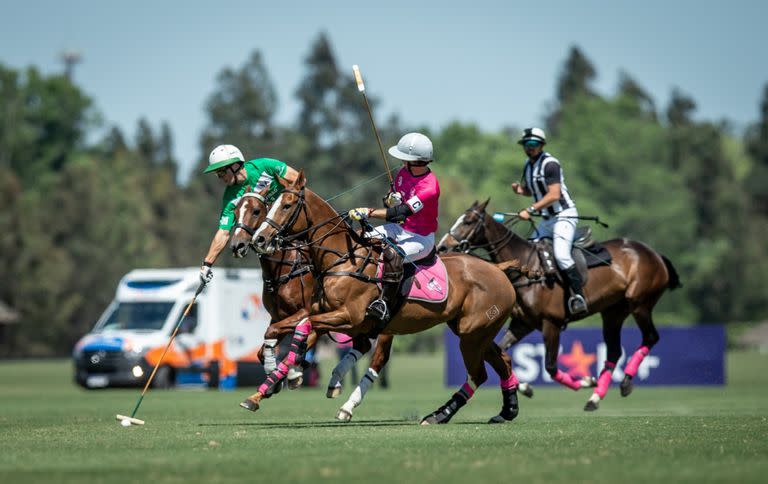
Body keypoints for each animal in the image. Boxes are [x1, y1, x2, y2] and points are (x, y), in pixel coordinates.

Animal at [228, 186, 396, 420]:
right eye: (235, 212)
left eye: (256, 211)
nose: (238, 245)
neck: (286, 265)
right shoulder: (279, 316)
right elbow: (264, 347)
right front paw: (278, 378)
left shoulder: (305, 312)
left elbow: (291, 339)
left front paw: (290, 374)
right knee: (361, 345)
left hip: (383, 326)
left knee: (378, 357)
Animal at [246, 173, 520, 424]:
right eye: (271, 204)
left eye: (287, 205)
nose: (259, 239)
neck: (342, 259)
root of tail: (499, 270)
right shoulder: (321, 312)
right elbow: (282, 330)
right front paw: (268, 381)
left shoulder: (350, 316)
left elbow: (302, 328)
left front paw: (288, 374)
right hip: (475, 332)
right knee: (503, 361)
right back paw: (507, 411)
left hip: (472, 334)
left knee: (478, 374)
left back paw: (439, 415)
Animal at [436, 199, 680, 410]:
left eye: (468, 221)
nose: (442, 248)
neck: (527, 268)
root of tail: (655, 253)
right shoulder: (523, 323)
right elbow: (502, 352)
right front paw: (525, 386)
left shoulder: (550, 323)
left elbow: (551, 367)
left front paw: (584, 381)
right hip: (613, 312)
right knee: (613, 352)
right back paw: (595, 398)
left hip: (640, 303)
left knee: (650, 337)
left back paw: (626, 382)